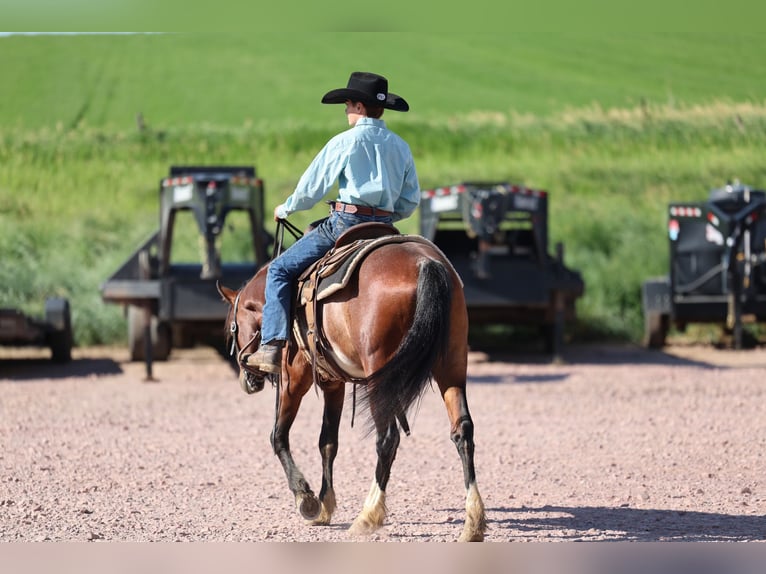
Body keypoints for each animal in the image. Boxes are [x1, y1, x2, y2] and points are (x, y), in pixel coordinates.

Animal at [217, 224, 487, 542]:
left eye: (231, 329)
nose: (247, 379)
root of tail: (425, 263)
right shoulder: (334, 383)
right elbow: (327, 442)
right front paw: (325, 505)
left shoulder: (294, 379)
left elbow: (278, 436)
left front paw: (306, 499)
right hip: (451, 366)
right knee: (462, 431)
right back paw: (473, 522)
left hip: (380, 375)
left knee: (387, 439)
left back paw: (368, 515)